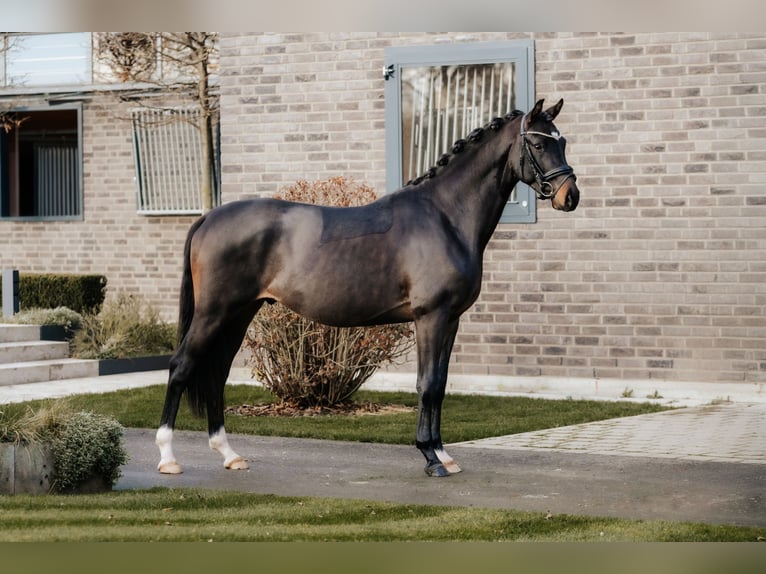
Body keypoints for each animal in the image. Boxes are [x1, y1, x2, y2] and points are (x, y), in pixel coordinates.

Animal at [158, 98, 584, 476]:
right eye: (539, 144)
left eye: (562, 141)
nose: (570, 196)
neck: (445, 216)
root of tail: (209, 217)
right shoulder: (430, 317)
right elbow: (427, 384)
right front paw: (430, 458)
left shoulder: (452, 320)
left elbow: (441, 385)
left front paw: (444, 455)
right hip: (214, 313)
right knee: (181, 366)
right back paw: (168, 458)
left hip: (239, 313)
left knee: (216, 372)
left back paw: (229, 454)